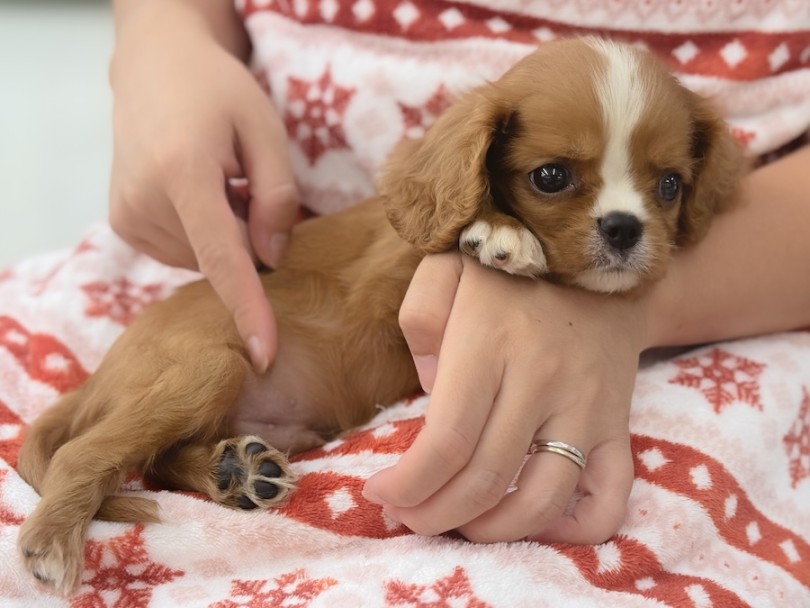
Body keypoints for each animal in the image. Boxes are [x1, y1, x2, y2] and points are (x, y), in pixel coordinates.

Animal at [17, 36, 740, 592]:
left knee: (159, 458)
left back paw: (237, 471)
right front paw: (497, 232)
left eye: (670, 185)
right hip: (210, 366)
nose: (623, 228)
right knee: (86, 452)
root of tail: (100, 373)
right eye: (551, 177)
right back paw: (53, 541)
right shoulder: (386, 275)